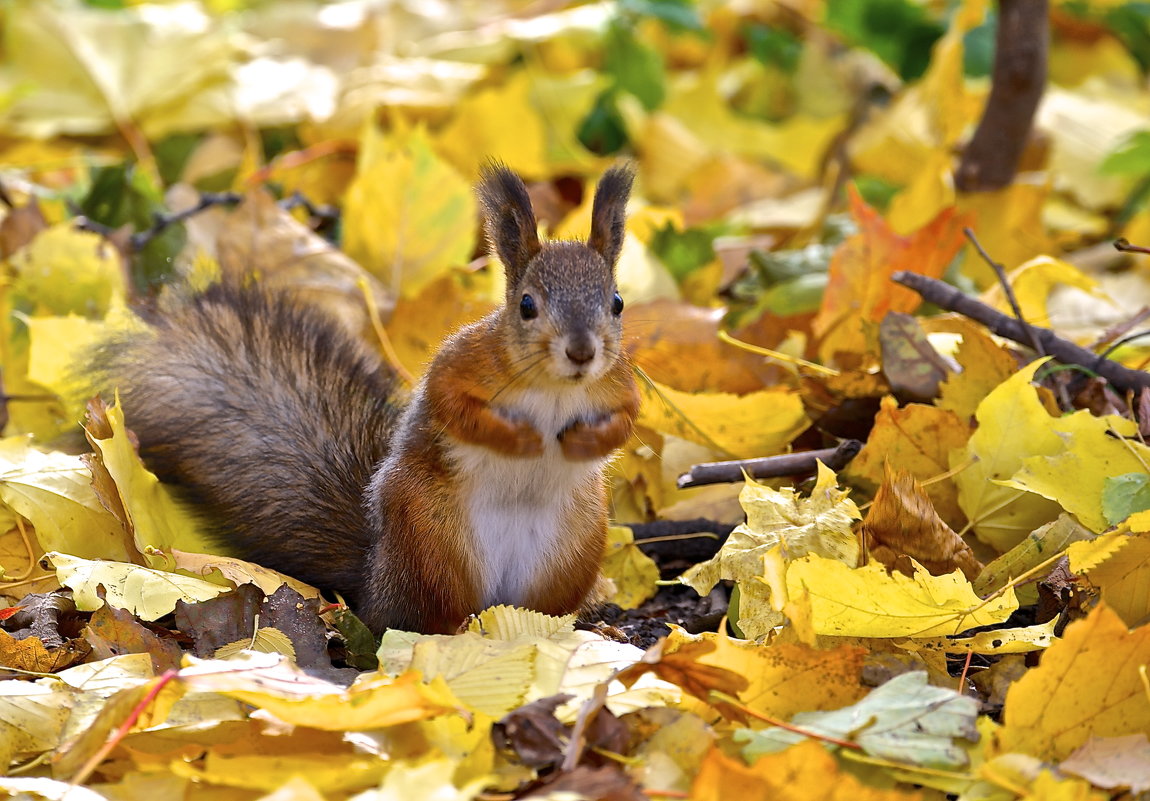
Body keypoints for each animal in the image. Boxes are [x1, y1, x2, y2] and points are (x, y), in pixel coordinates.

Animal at [83, 165, 639, 634]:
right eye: (527, 306)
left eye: (617, 302)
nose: (582, 352)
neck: (555, 389)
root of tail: (375, 582)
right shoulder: (459, 365)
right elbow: (454, 409)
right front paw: (520, 439)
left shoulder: (618, 385)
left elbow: (627, 420)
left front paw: (585, 442)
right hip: (432, 542)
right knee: (425, 617)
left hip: (572, 549)